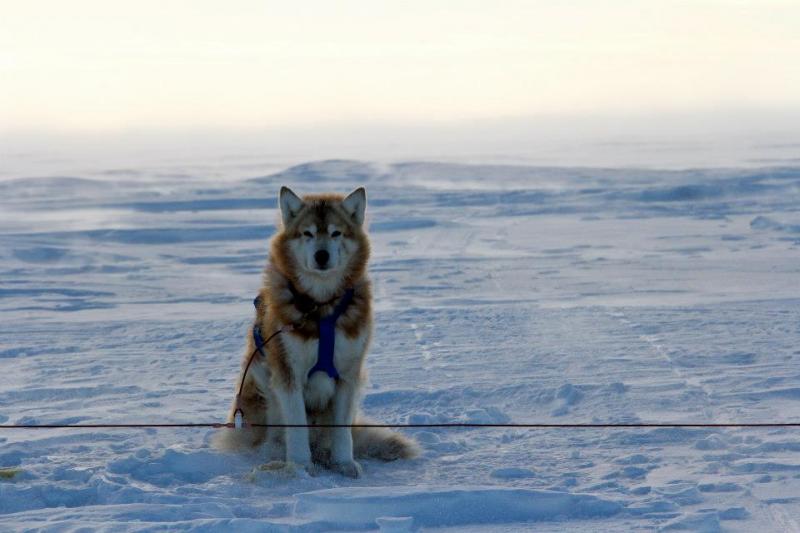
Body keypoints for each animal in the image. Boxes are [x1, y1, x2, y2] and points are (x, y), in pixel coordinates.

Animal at [216, 186, 422, 474]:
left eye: (336, 233)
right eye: (308, 233)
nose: (321, 255)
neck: (321, 306)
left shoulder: (349, 374)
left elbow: (342, 432)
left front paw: (344, 463)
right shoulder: (288, 373)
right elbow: (296, 428)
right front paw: (301, 468)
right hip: (259, 379)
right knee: (273, 438)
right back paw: (278, 457)